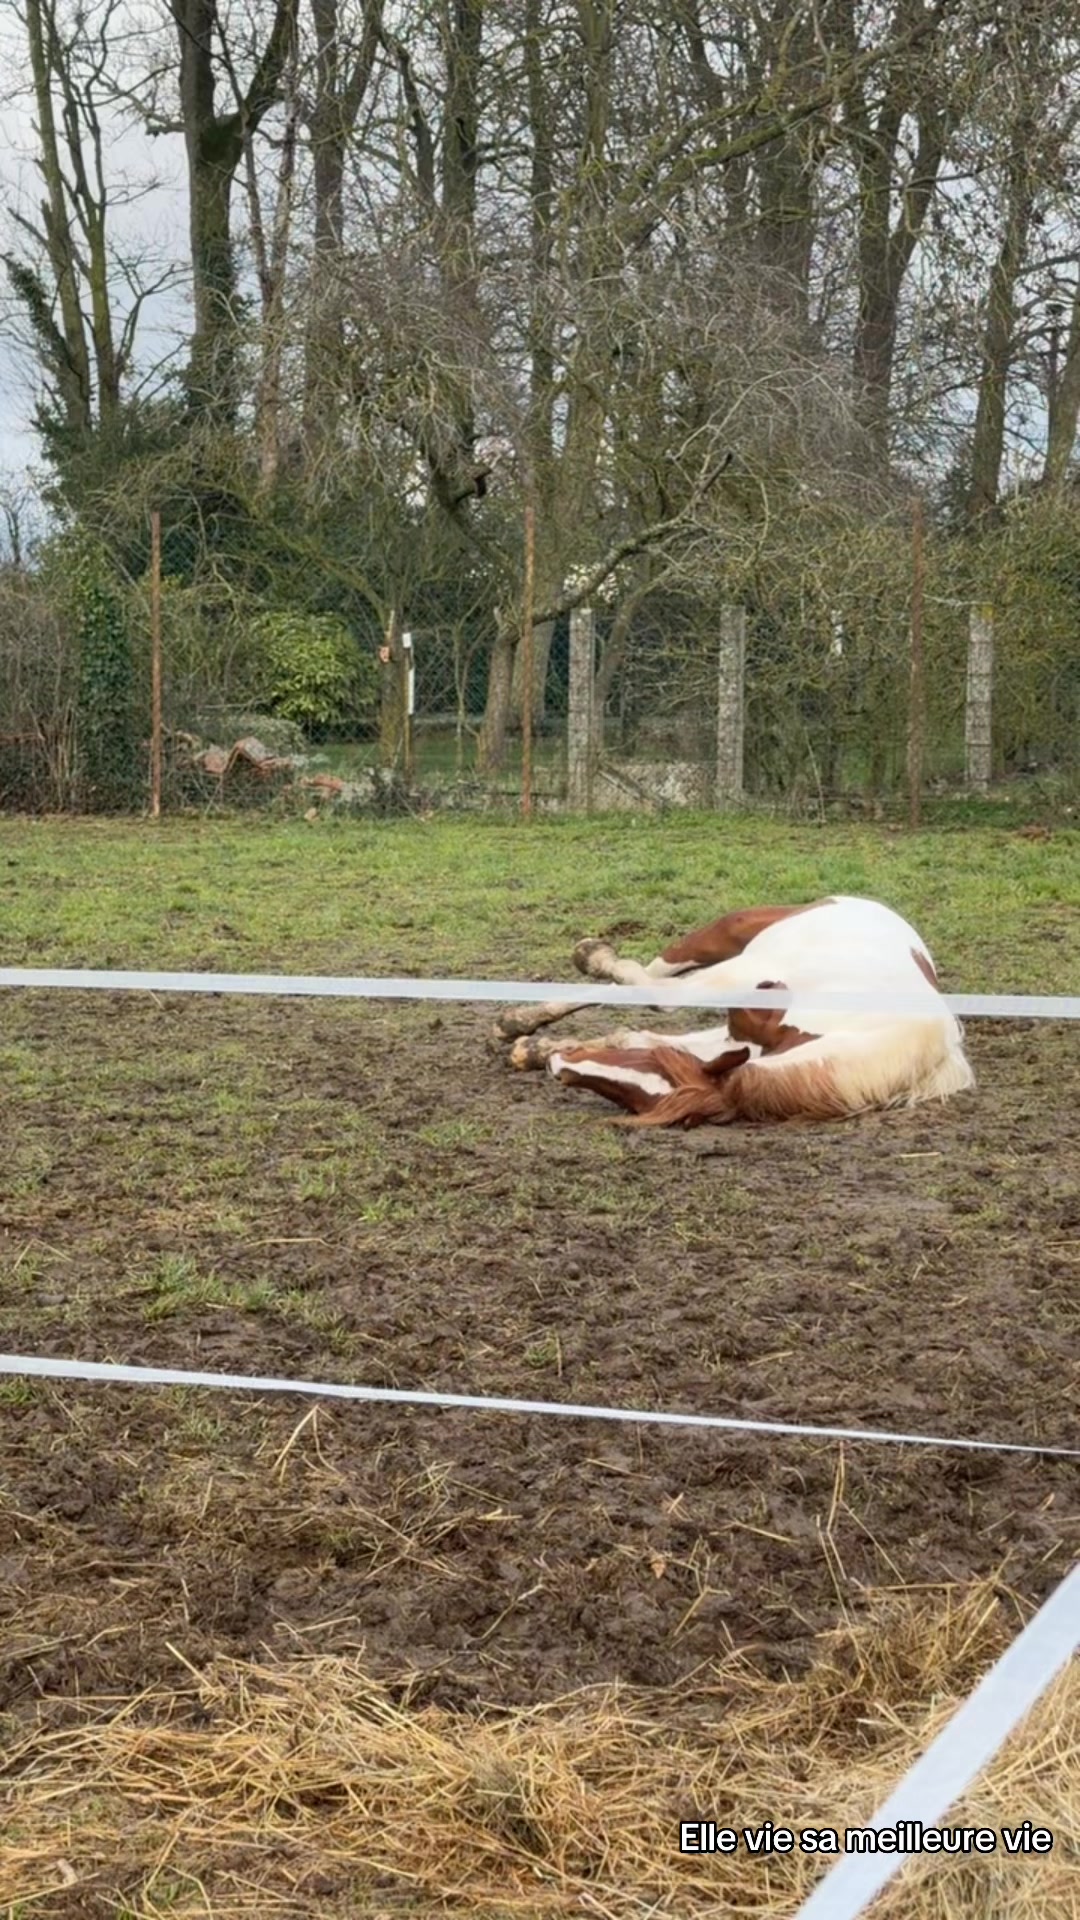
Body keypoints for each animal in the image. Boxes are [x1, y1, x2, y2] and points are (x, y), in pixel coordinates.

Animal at [493, 895, 975, 1128]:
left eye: (638, 1098)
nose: (559, 1068)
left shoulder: (742, 1038)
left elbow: (635, 1032)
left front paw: (538, 1049)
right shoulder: (748, 978)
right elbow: (657, 996)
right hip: (729, 936)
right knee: (651, 971)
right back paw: (581, 962)